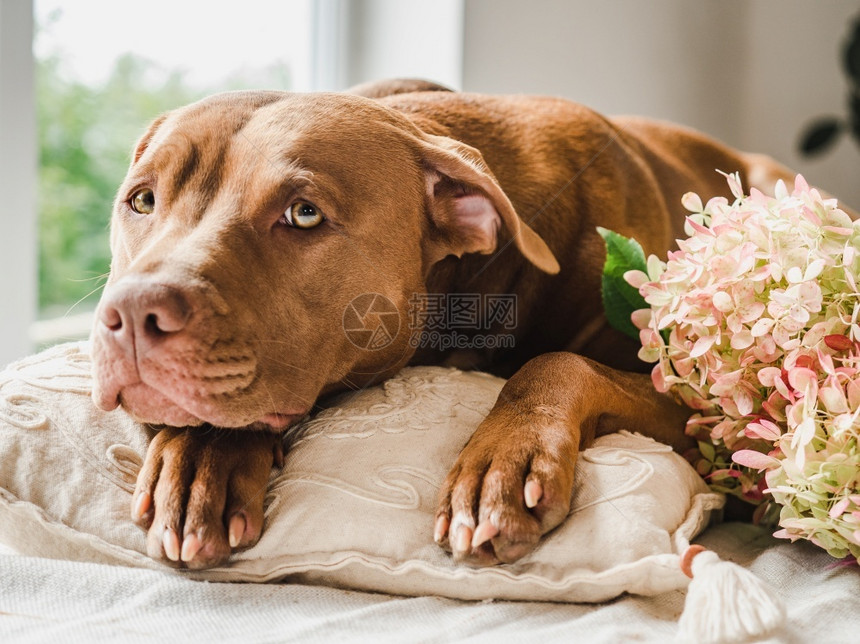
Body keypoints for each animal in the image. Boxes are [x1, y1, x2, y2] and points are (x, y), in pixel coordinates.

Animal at [89, 76, 800, 568]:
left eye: (304, 213)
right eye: (142, 200)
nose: (132, 311)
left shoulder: (707, 415)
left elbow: (558, 362)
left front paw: (501, 466)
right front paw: (202, 457)